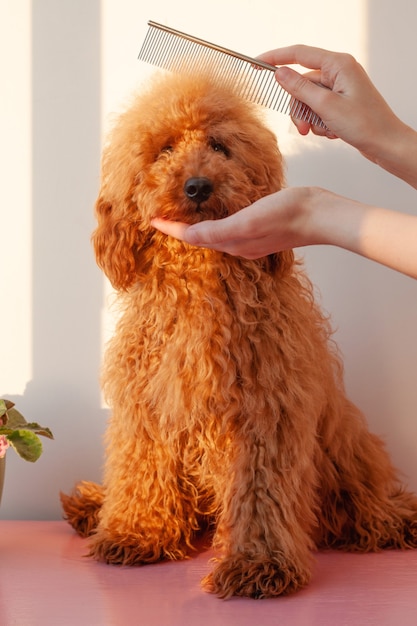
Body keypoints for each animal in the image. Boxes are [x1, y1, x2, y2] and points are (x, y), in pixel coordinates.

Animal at [61, 70, 416, 596]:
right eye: (165, 149)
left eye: (219, 146)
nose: (197, 185)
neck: (200, 281)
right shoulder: (147, 408)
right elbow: (143, 470)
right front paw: (135, 533)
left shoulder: (265, 415)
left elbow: (259, 495)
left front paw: (258, 565)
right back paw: (92, 506)